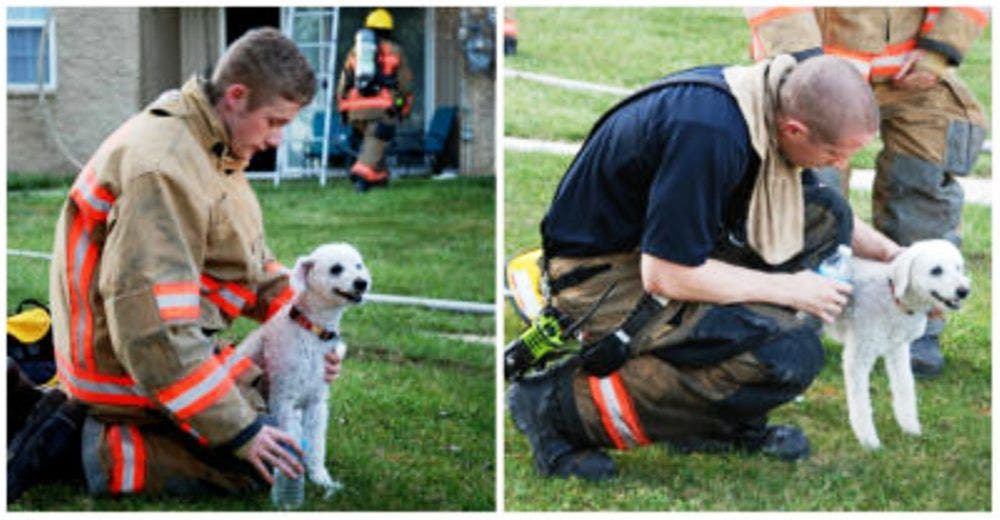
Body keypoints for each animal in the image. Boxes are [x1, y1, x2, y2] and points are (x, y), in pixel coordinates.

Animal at [238, 244, 372, 496]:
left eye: (358, 265)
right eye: (336, 268)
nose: (362, 283)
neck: (311, 331)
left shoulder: (317, 403)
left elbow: (317, 444)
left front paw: (321, 478)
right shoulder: (284, 400)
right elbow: (288, 440)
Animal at [828, 240, 968, 450]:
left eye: (959, 267)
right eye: (936, 270)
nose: (964, 291)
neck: (892, 296)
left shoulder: (898, 349)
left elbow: (904, 386)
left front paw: (910, 428)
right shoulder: (858, 355)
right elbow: (861, 403)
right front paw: (869, 443)